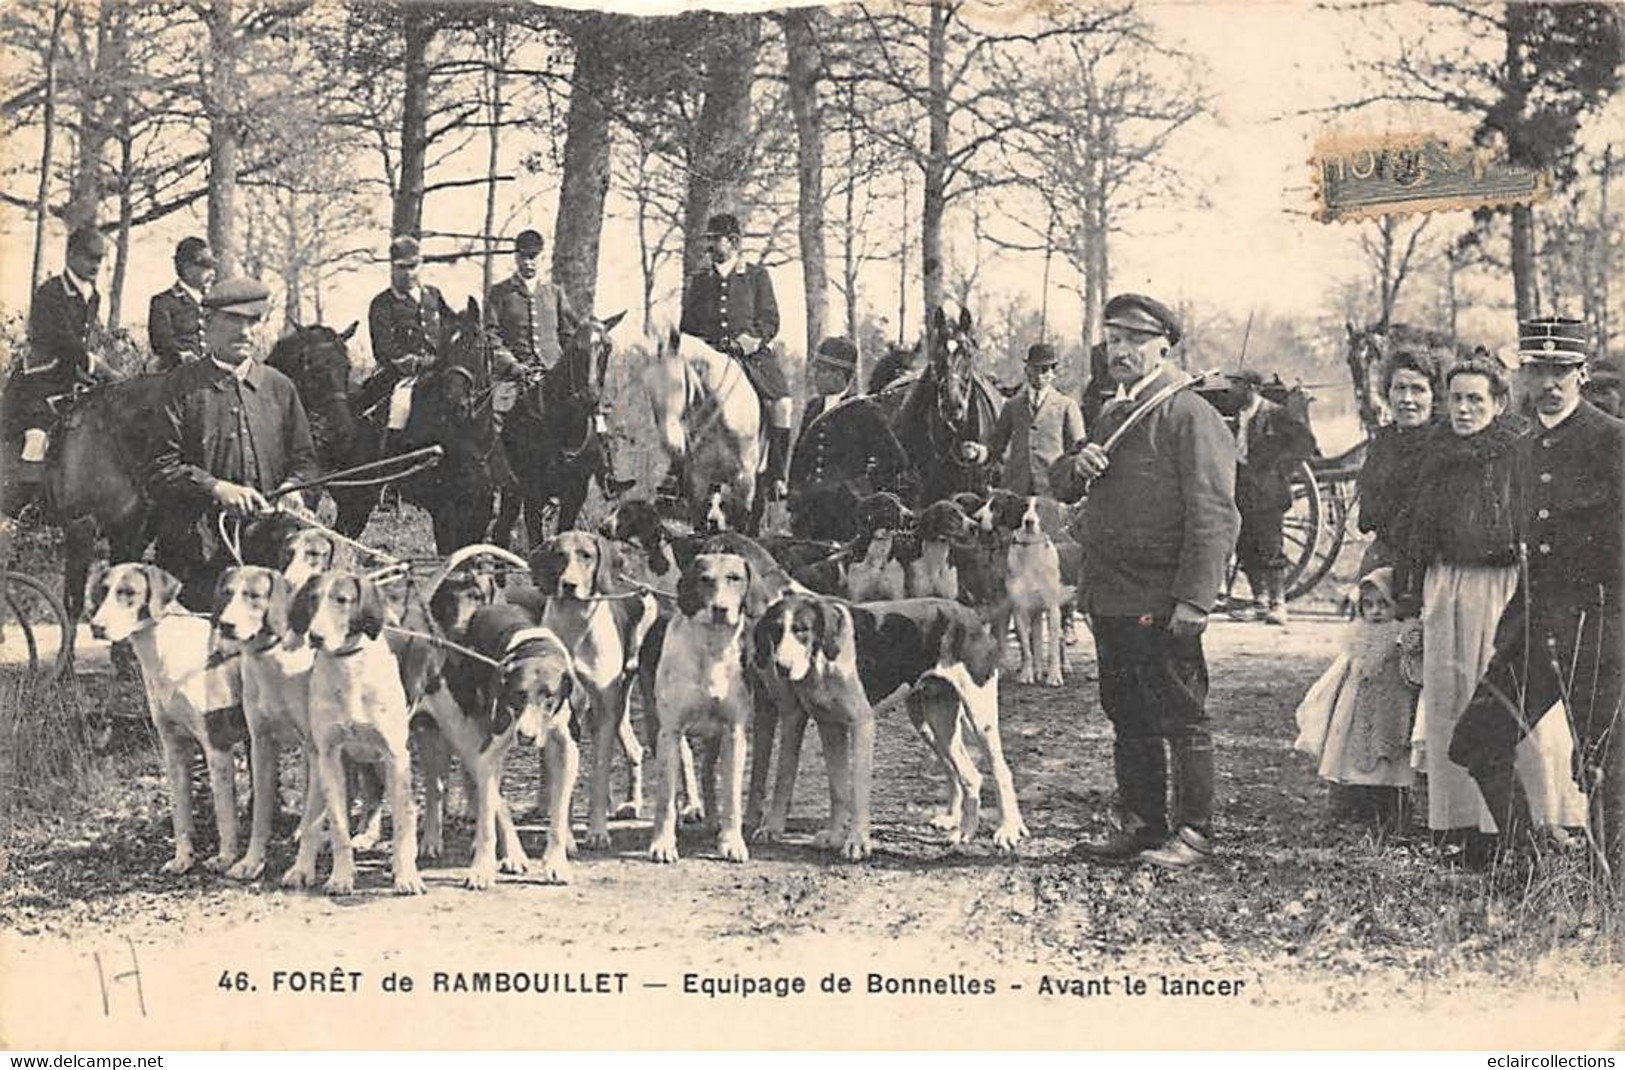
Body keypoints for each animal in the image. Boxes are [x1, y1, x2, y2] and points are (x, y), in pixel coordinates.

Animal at [490, 305, 624, 543]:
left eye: (608, 347)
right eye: (576, 347)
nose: (590, 397)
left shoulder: (576, 494)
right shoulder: (533, 494)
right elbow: (536, 542)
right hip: (512, 490)